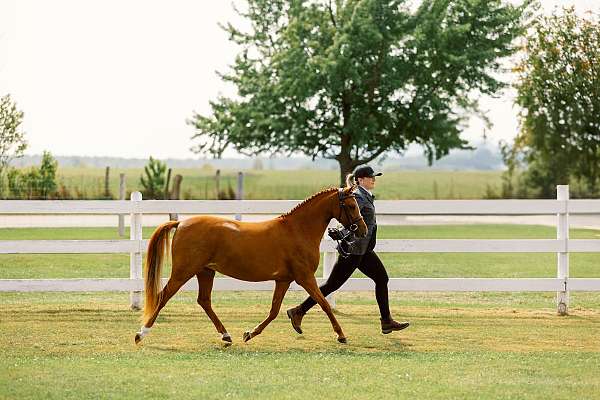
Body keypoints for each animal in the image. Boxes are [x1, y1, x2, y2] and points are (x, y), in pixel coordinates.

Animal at [135, 185, 366, 344]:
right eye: (351, 206)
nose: (363, 230)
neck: (297, 230)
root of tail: (181, 222)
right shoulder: (304, 277)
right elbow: (324, 303)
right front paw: (341, 335)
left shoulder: (283, 280)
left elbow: (274, 311)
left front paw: (250, 333)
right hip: (184, 271)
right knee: (164, 296)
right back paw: (141, 334)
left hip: (205, 272)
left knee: (204, 301)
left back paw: (226, 335)